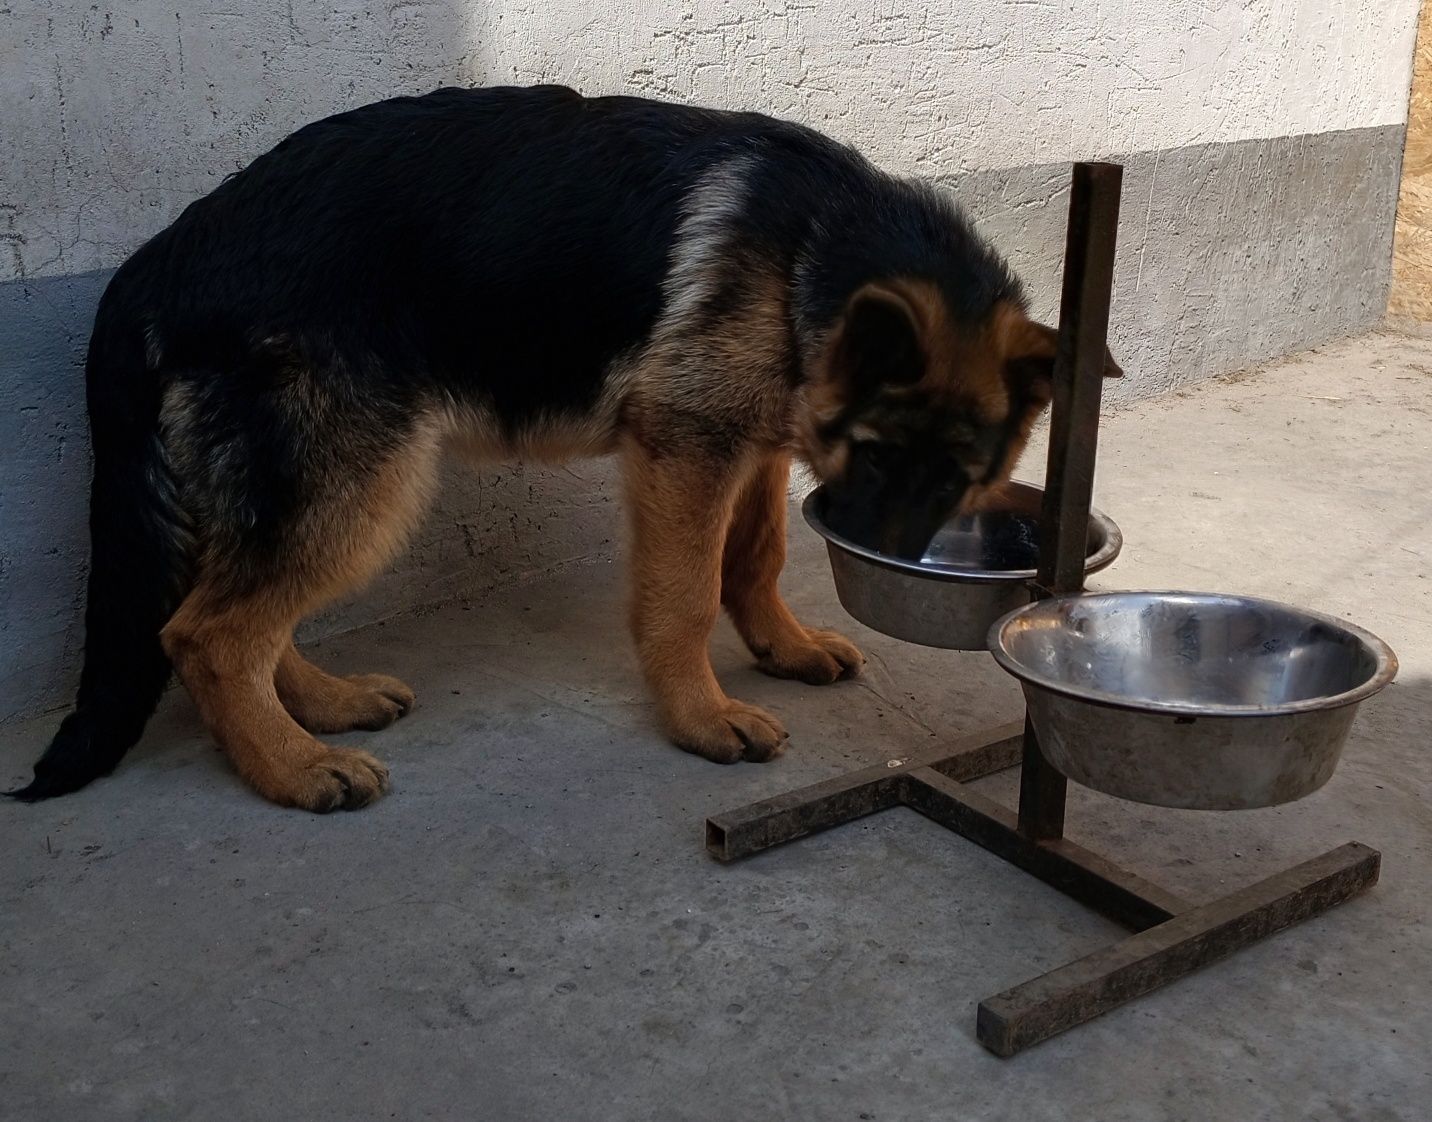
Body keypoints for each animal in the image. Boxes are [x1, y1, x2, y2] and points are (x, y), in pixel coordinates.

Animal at [13, 83, 1116, 812]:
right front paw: (700, 718)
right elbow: (683, 597)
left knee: (246, 617)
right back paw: (291, 770)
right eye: (880, 453)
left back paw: (320, 710)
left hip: (318, 493)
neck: (813, 245)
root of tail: (159, 258)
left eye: (962, 477)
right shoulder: (687, 452)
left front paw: (783, 647)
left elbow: (754, 557)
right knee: (206, 634)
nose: (889, 553)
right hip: (360, 484)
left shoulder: (751, 444)